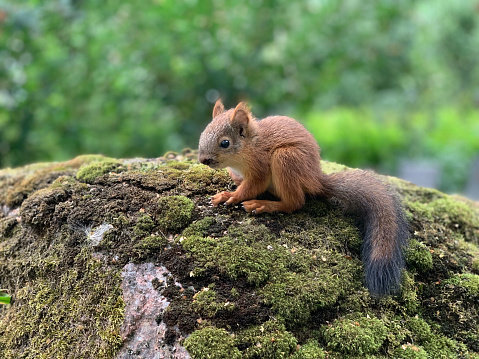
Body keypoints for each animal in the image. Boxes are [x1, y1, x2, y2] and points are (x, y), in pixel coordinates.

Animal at [198, 100, 408, 296]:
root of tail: (316, 180)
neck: (248, 147)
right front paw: (233, 181)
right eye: (203, 133)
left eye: (225, 143)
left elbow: (252, 186)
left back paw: (264, 204)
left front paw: (231, 196)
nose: (202, 160)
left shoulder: (260, 167)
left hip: (285, 159)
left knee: (295, 202)